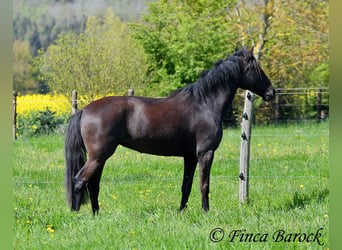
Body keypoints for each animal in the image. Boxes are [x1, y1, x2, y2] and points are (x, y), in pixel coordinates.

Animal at [65, 47, 276, 215]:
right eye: (256, 68)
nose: (271, 92)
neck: (205, 103)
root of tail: (85, 110)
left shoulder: (190, 157)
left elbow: (186, 186)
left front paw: (182, 212)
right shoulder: (205, 153)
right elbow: (204, 184)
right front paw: (206, 212)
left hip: (99, 158)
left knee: (93, 185)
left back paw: (96, 214)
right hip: (98, 156)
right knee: (79, 181)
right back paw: (76, 214)